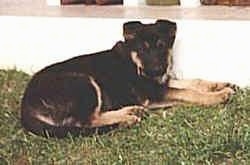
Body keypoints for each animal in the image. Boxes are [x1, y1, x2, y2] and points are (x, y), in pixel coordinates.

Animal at [21, 19, 234, 138]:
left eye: (161, 46)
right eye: (143, 50)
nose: (156, 69)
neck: (135, 63)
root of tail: (24, 107)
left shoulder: (160, 83)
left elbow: (193, 82)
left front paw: (218, 85)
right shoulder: (154, 94)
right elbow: (188, 92)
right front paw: (218, 96)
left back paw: (131, 112)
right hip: (84, 83)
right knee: (85, 121)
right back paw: (127, 118)